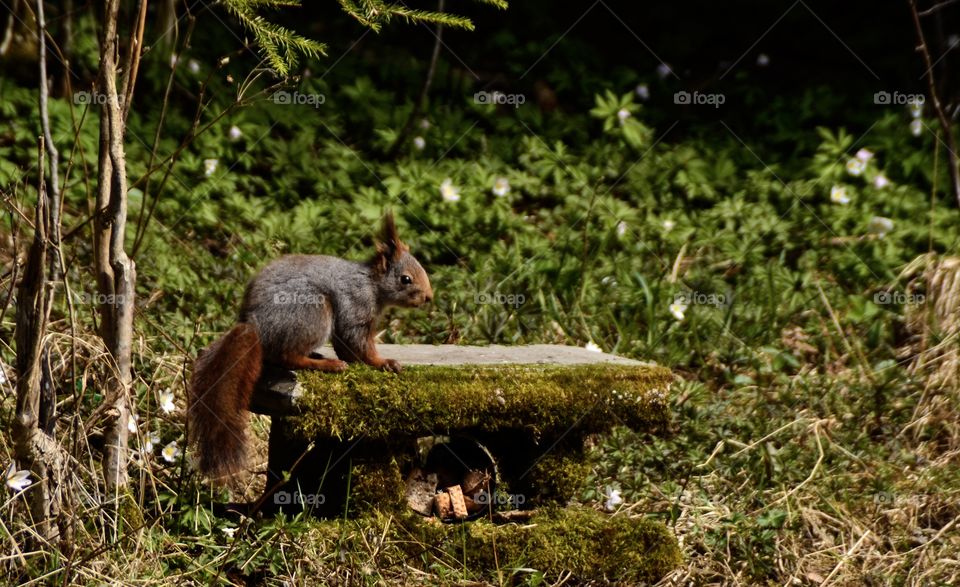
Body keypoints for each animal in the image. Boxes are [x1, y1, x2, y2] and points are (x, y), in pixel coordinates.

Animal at [187, 214, 432, 480]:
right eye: (405, 279)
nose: (429, 298)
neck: (371, 284)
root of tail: (255, 324)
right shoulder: (355, 310)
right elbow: (358, 344)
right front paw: (383, 363)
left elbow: (348, 347)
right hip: (313, 312)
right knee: (288, 357)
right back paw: (328, 364)